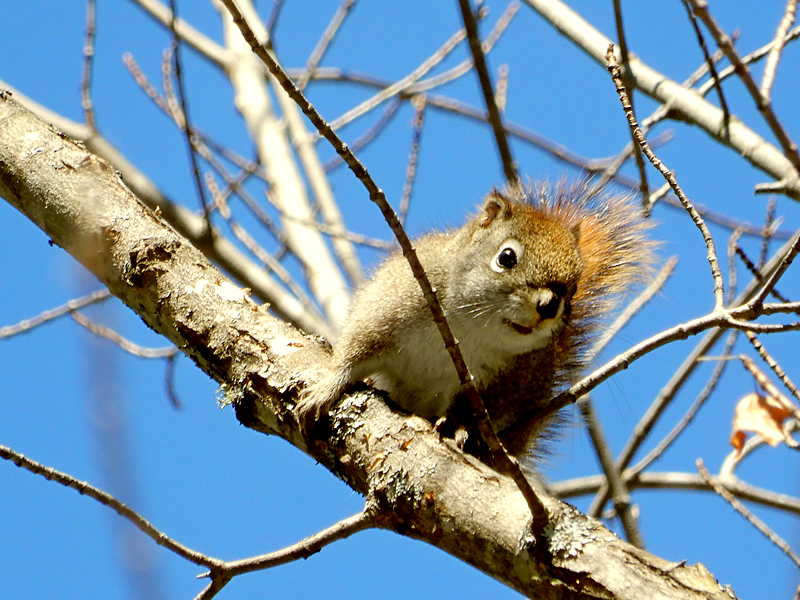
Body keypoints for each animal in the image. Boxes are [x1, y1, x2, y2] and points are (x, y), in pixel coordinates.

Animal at [296, 180, 652, 458]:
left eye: (575, 287)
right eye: (506, 258)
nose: (549, 306)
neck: (469, 328)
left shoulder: (509, 380)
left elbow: (475, 409)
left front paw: (457, 427)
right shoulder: (389, 306)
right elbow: (356, 351)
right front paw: (328, 387)